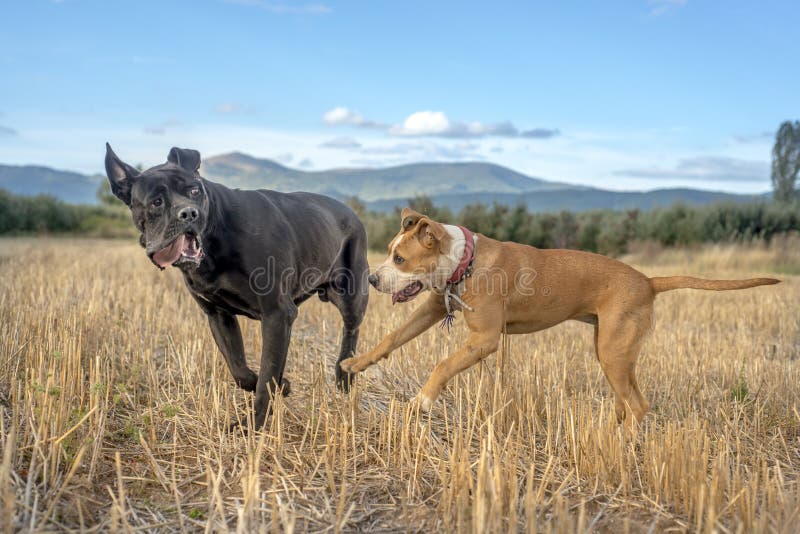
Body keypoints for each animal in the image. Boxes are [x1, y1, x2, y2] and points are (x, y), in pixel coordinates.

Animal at [104, 144, 370, 430]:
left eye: (194, 191)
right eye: (156, 201)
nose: (189, 213)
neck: (214, 240)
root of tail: (353, 213)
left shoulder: (277, 312)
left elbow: (266, 374)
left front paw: (253, 425)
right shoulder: (219, 315)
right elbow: (241, 369)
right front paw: (283, 386)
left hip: (352, 295)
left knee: (351, 331)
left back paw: (343, 376)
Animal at [340, 209, 780, 428]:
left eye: (400, 258)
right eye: (390, 253)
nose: (373, 279)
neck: (465, 262)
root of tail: (649, 281)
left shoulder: (485, 339)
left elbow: (443, 364)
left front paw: (422, 401)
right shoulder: (432, 307)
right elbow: (392, 338)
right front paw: (354, 364)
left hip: (614, 352)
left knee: (639, 406)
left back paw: (620, 446)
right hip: (613, 353)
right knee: (629, 400)